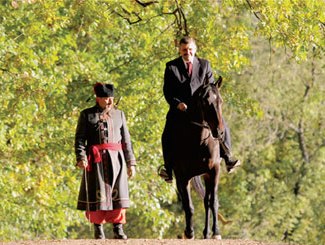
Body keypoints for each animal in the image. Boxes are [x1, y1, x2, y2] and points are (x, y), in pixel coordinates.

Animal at [171, 76, 221, 239]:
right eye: (205, 102)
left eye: (220, 101)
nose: (219, 131)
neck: (199, 141)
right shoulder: (183, 177)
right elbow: (189, 205)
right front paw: (189, 232)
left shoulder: (214, 171)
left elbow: (213, 202)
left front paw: (216, 232)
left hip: (206, 175)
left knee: (207, 201)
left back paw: (207, 232)